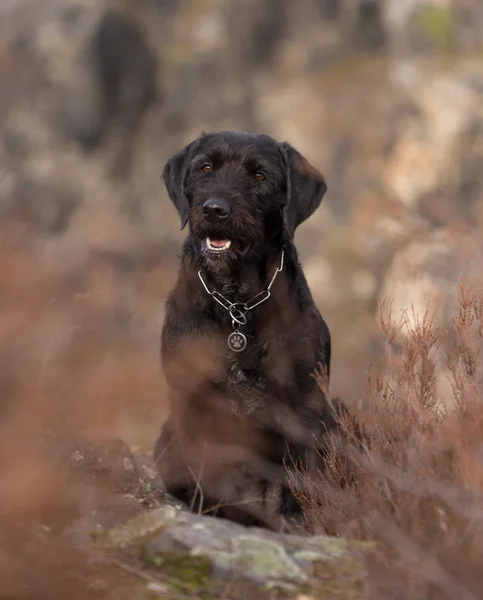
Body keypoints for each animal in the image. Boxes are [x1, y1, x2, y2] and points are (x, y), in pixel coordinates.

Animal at [155, 131, 344, 528]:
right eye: (205, 168)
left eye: (259, 176)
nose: (215, 209)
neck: (237, 305)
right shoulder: (194, 399)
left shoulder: (306, 402)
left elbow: (300, 472)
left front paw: (297, 520)